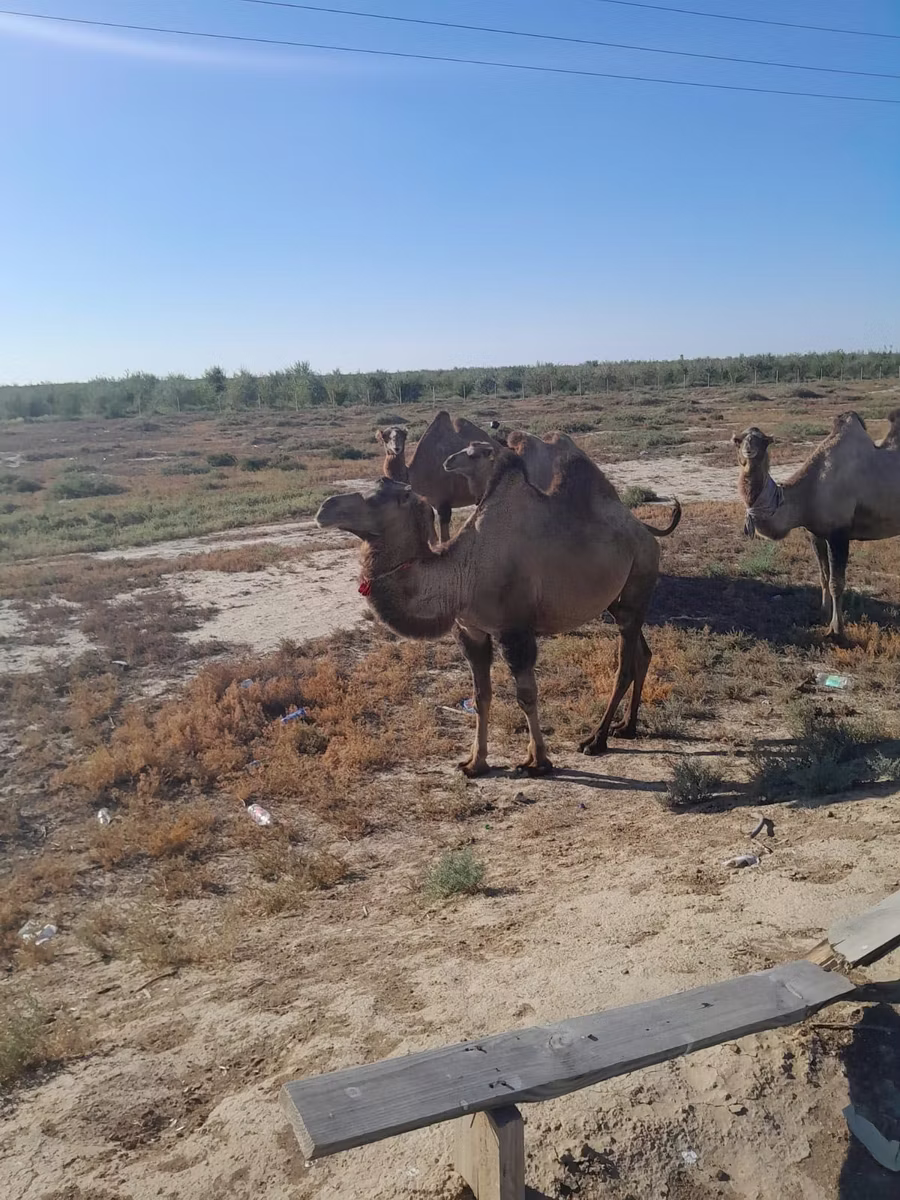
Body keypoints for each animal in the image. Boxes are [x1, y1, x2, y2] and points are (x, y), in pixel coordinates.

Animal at [317, 450, 681, 776]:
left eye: (382, 498)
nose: (324, 508)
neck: (462, 574)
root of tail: (644, 529)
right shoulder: (472, 632)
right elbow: (481, 696)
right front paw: (474, 763)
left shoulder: (514, 631)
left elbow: (526, 696)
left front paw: (538, 762)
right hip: (618, 601)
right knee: (642, 654)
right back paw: (627, 726)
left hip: (638, 580)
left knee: (624, 666)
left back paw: (597, 740)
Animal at [734, 411, 900, 637]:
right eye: (738, 440)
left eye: (764, 441)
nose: (748, 450)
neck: (808, 492)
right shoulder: (815, 533)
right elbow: (823, 575)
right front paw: (823, 612)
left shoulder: (839, 533)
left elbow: (836, 582)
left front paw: (836, 629)